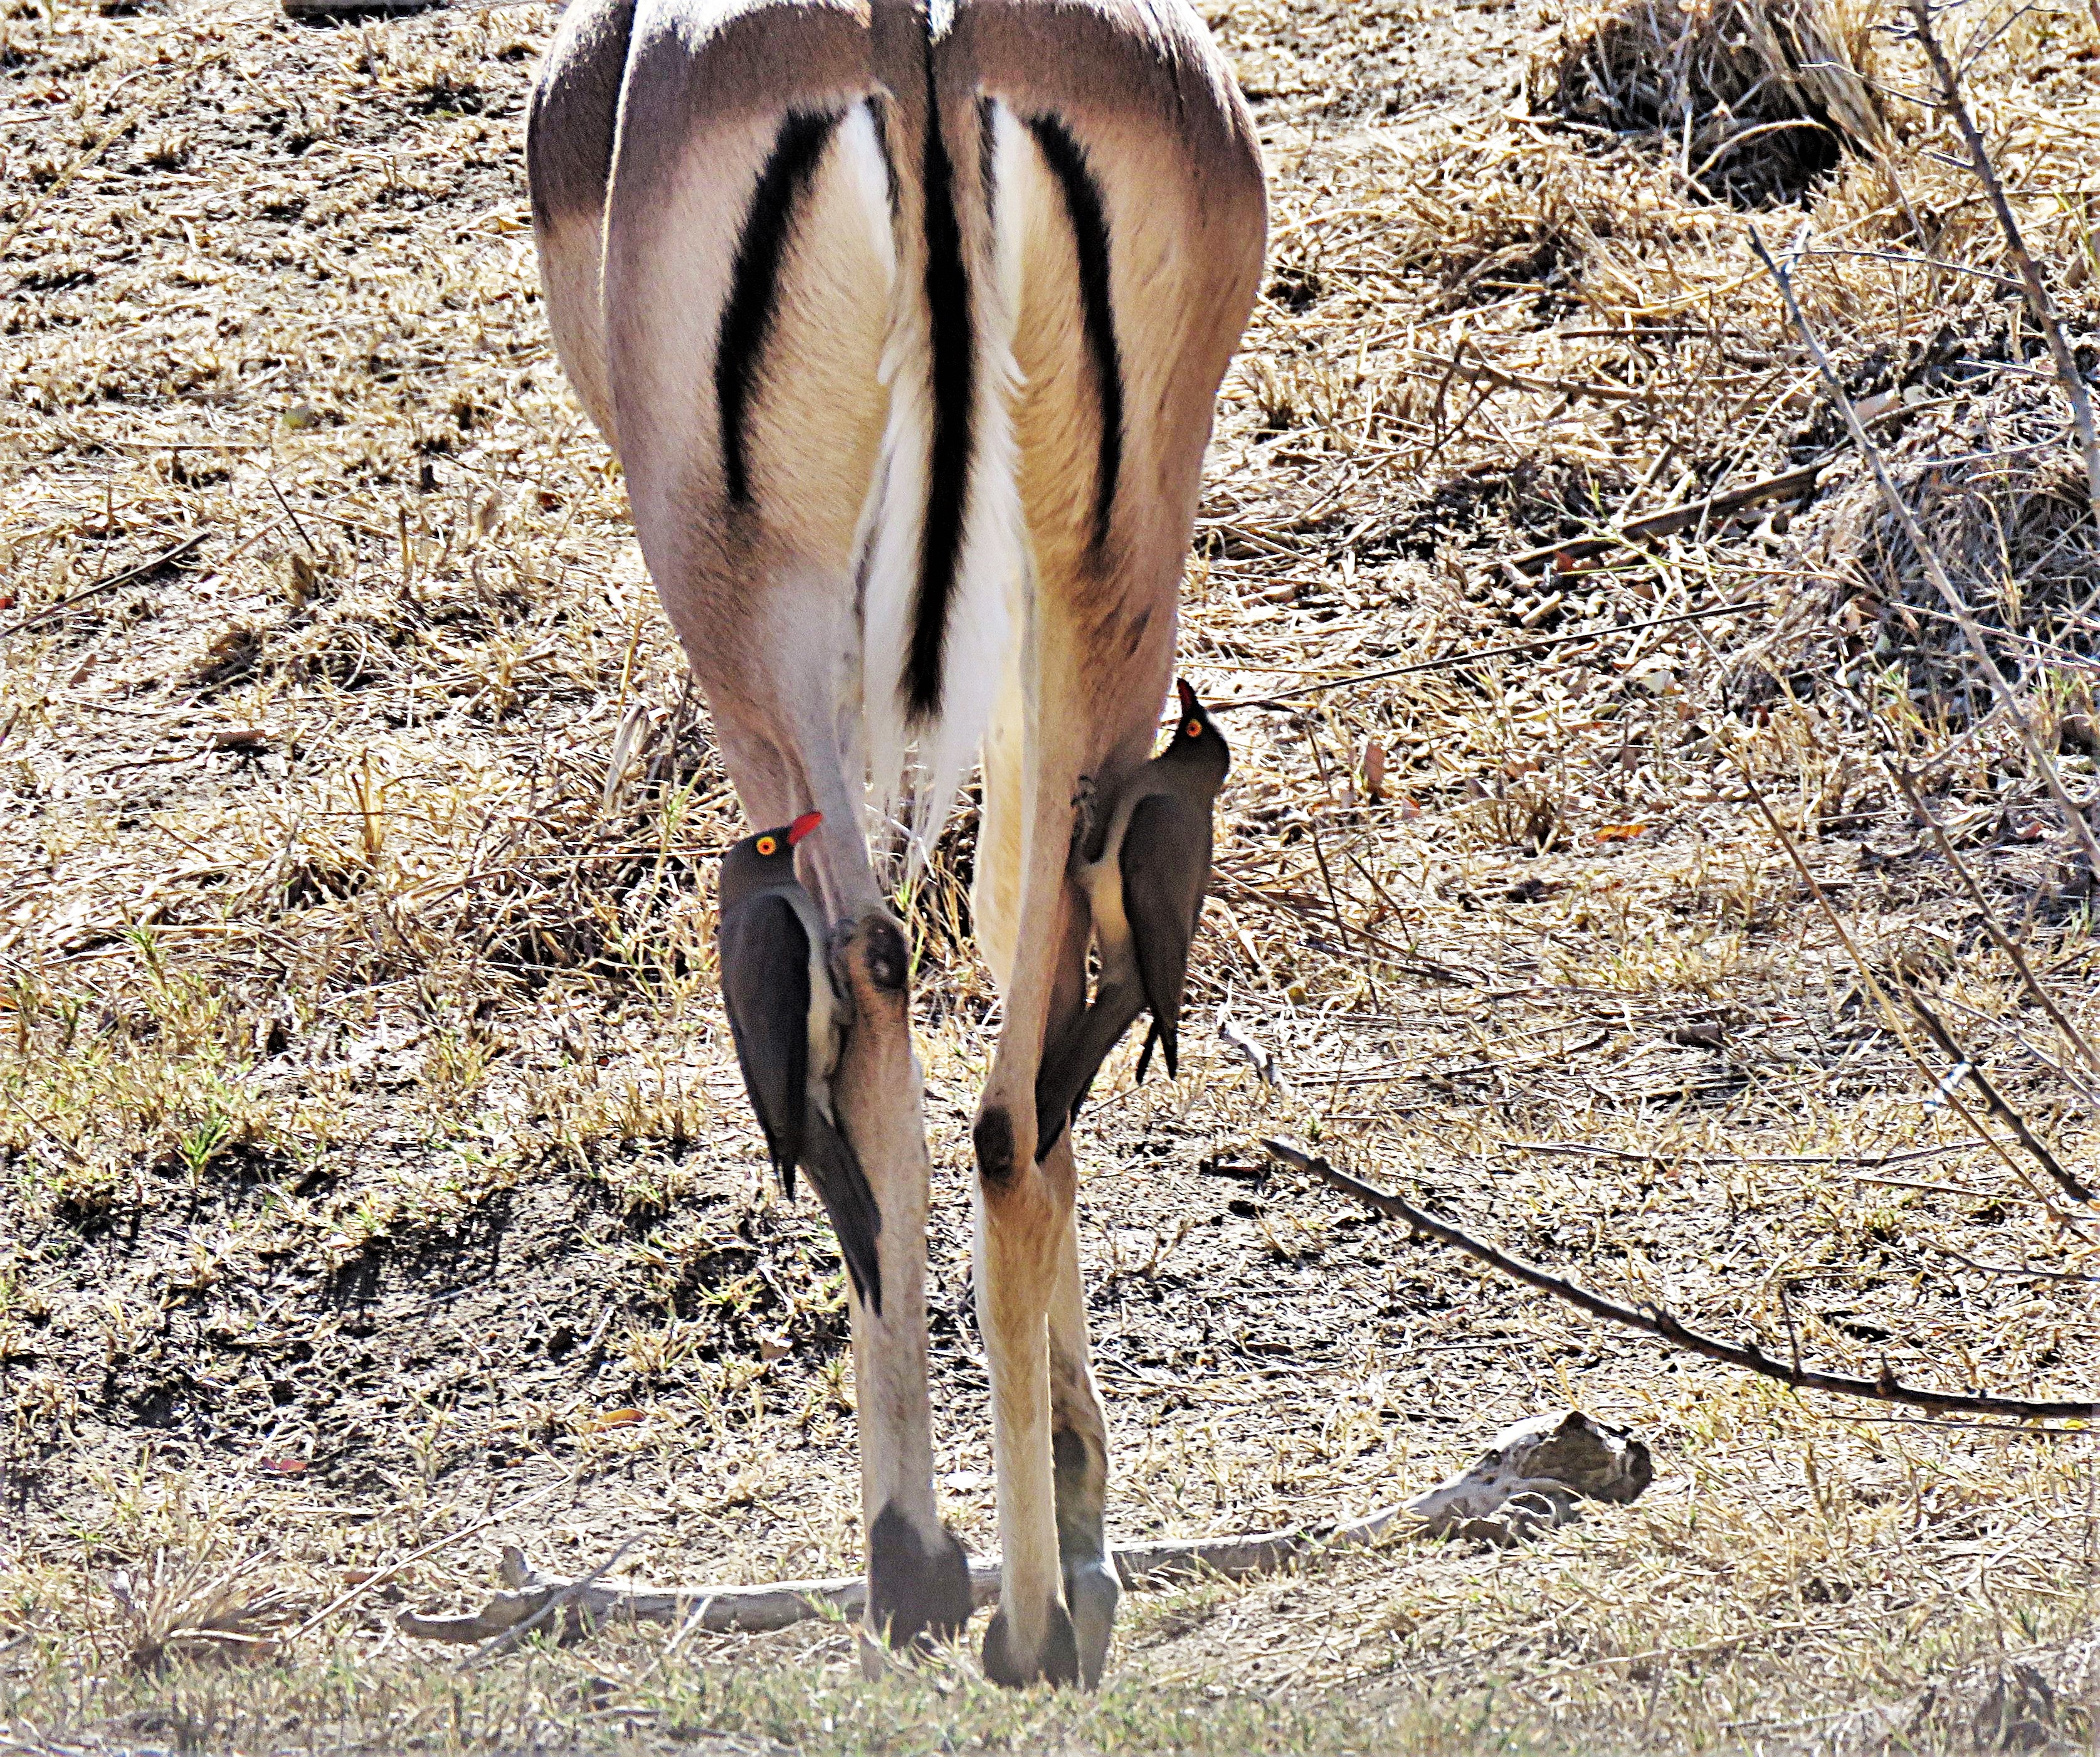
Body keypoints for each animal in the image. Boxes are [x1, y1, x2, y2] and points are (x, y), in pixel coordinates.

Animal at [527, 0, 1265, 1686]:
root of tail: (922, 43)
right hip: (1104, 590)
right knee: (1009, 1083)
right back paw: (1042, 1595)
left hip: (762, 633)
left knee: (865, 981)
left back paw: (932, 1572)